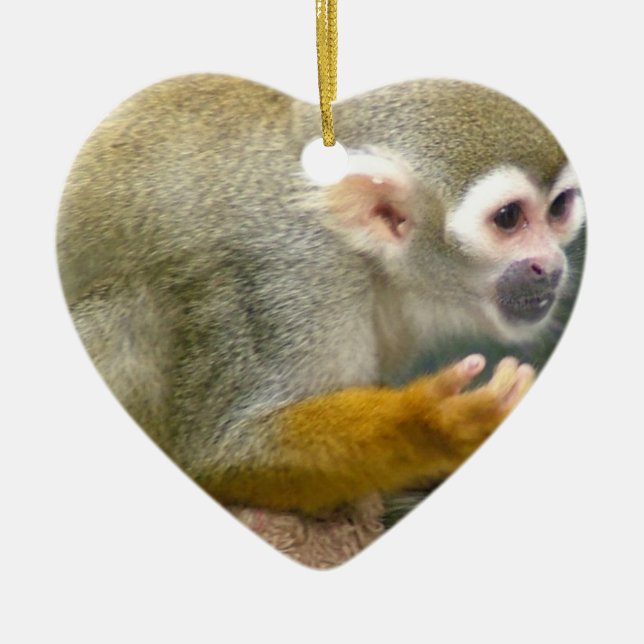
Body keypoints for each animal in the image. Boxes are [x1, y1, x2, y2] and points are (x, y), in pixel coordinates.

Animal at [57, 75, 585, 515]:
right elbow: (227, 450)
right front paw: (434, 422)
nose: (551, 266)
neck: (364, 255)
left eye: (559, 208)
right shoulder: (292, 278)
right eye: (508, 219)